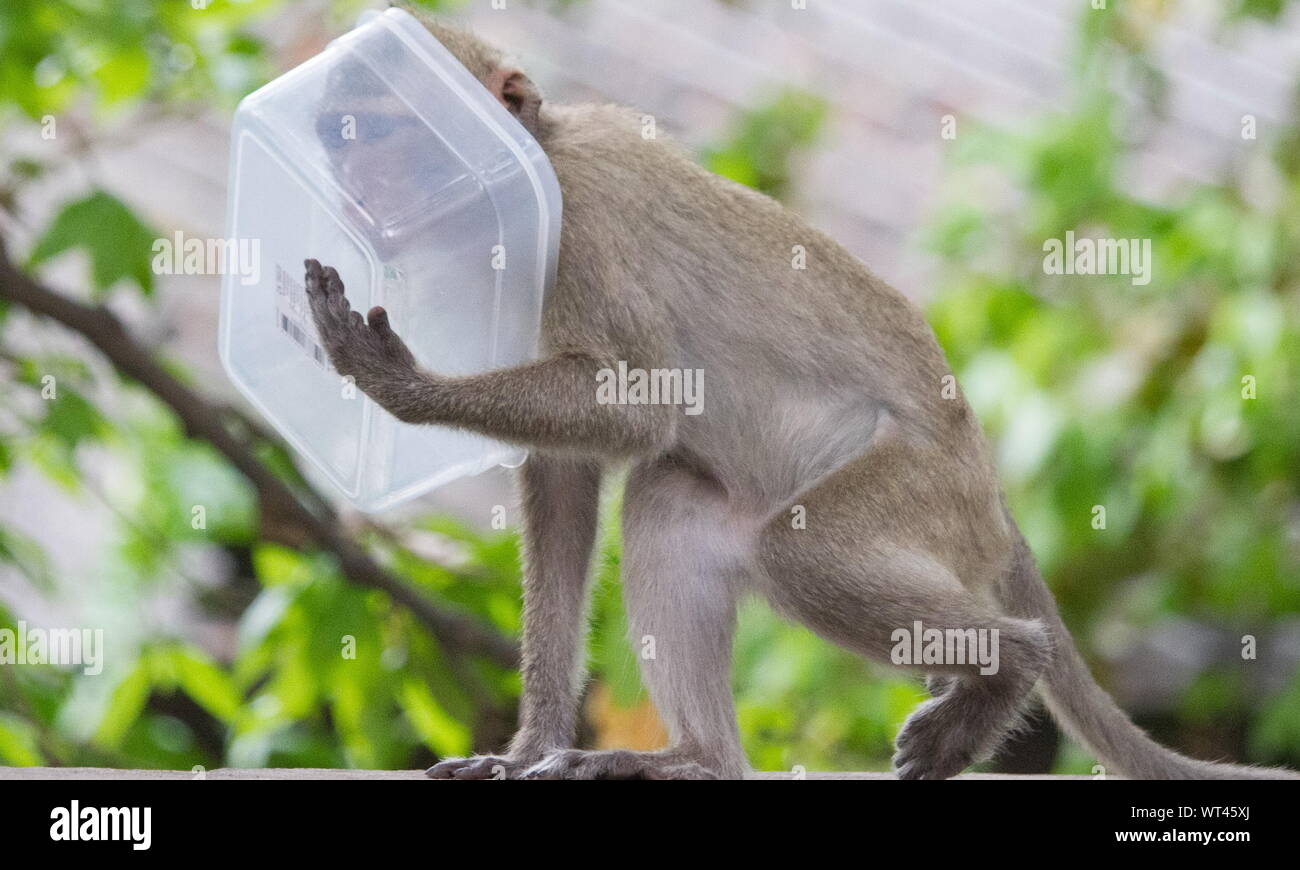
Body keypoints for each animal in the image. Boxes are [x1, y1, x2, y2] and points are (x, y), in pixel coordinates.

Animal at [297, 6, 1300, 780]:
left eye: (385, 127)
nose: (349, 182)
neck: (539, 164)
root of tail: (987, 483)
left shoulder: (583, 228)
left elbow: (637, 406)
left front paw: (400, 385)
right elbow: (569, 481)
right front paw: (530, 743)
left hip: (925, 494)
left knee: (799, 551)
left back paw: (1010, 666)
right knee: (671, 503)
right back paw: (700, 758)